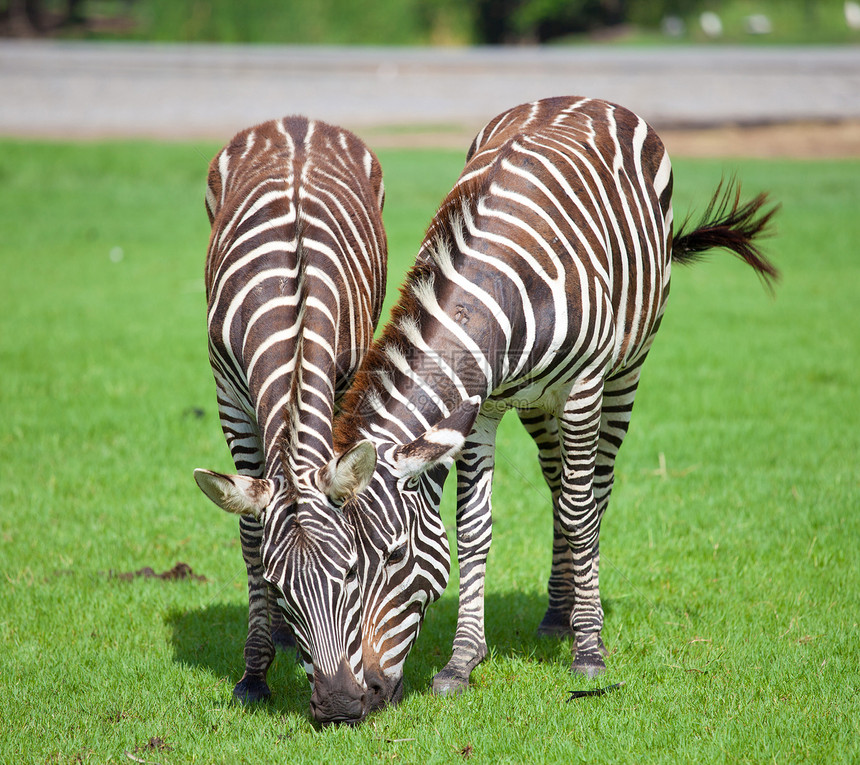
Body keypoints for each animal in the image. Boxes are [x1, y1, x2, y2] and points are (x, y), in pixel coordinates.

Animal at [192, 115, 390, 724]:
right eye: (281, 589)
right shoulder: (230, 397)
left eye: (351, 573)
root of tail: (297, 122)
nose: (343, 706)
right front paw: (255, 674)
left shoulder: (343, 382)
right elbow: (251, 534)